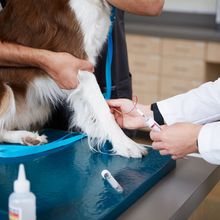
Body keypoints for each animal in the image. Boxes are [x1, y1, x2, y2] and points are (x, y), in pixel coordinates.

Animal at [0, 0, 147, 158]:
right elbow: (103, 108)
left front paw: (94, 132)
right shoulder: (77, 61)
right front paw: (125, 144)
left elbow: (82, 105)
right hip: (6, 91)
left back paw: (28, 137)